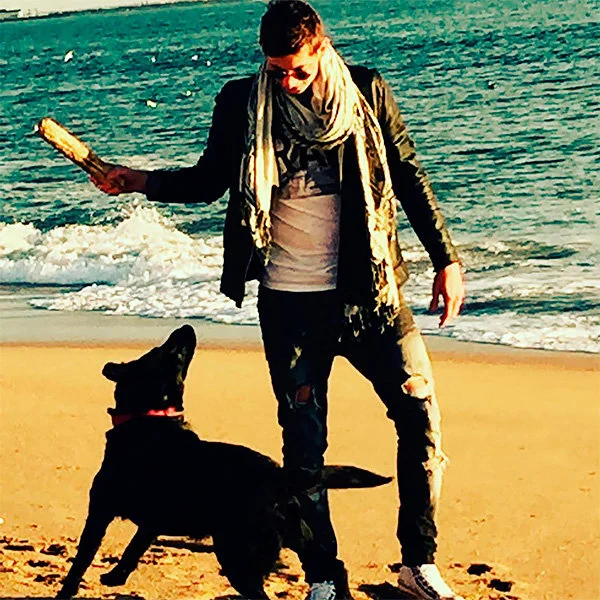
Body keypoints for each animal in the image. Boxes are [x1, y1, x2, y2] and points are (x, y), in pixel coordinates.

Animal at [56, 325, 391, 599]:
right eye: (164, 351)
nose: (186, 328)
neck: (150, 417)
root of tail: (279, 476)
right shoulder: (151, 522)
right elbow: (133, 549)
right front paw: (115, 577)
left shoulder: (100, 511)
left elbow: (82, 560)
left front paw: (69, 590)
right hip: (300, 537)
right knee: (335, 566)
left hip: (237, 554)